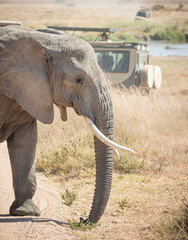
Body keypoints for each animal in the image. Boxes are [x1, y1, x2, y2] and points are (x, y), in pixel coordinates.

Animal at [0, 25, 135, 223]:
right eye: (79, 80)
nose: (83, 219)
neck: (43, 41)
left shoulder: (29, 92)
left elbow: (25, 143)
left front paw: (26, 212)